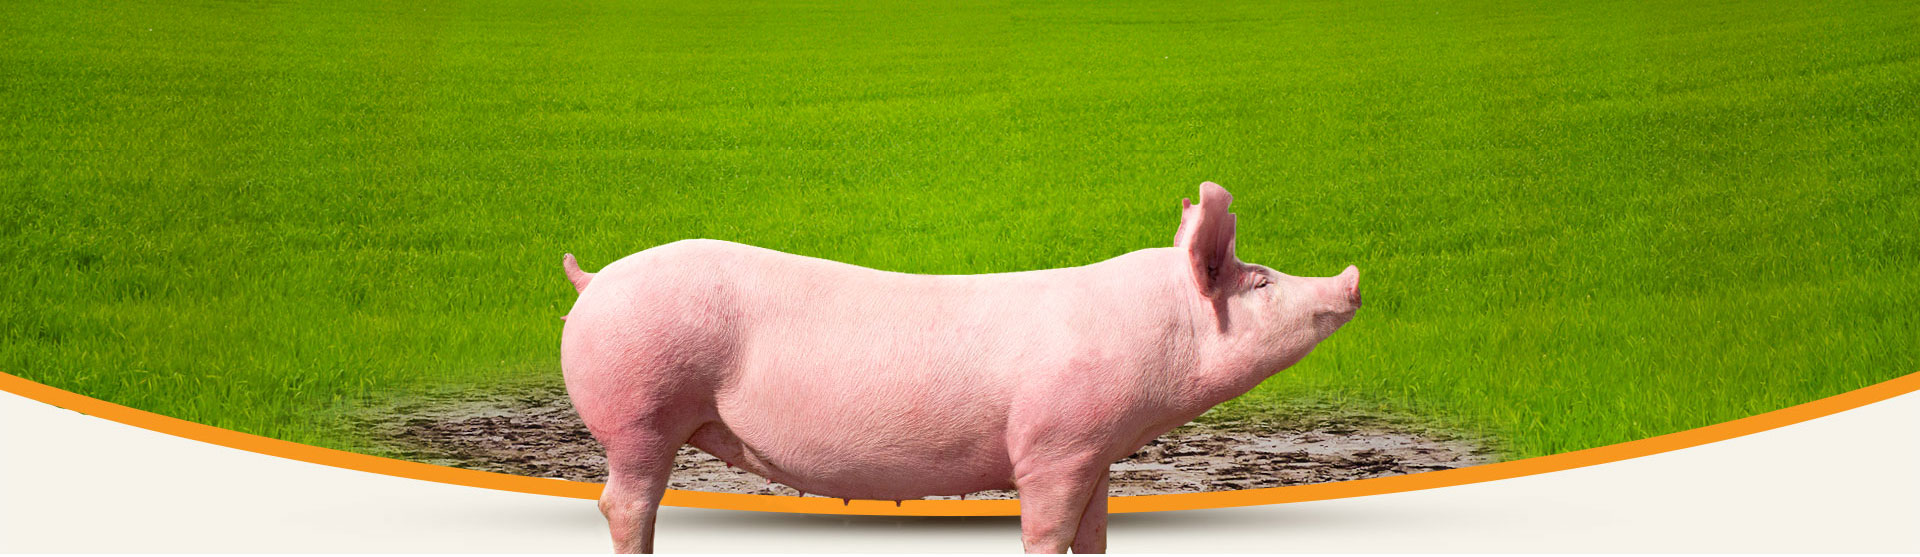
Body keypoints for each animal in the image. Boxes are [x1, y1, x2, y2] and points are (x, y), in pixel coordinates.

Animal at [559, 182, 1361, 553]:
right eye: (1261, 281)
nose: (1352, 278)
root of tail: (594, 279)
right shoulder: (1052, 445)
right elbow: (1047, 530)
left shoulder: (1096, 451)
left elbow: (1096, 532)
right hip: (639, 408)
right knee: (623, 500)